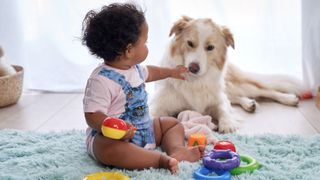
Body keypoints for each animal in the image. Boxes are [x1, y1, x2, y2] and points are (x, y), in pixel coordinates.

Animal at [149, 16, 304, 133]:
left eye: (210, 47)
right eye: (190, 43)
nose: (193, 68)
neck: (195, 81)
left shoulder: (217, 99)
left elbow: (223, 109)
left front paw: (227, 124)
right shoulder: (159, 103)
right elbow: (152, 114)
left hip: (235, 85)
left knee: (265, 90)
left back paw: (289, 99)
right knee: (235, 97)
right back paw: (249, 104)